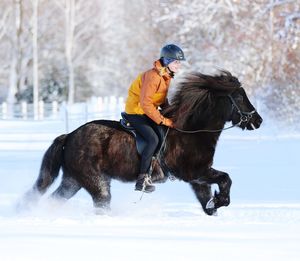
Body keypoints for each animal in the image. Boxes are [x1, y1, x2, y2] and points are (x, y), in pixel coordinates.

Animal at [22, 71, 262, 215]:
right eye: (239, 97)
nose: (258, 121)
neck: (191, 131)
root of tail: (70, 136)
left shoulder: (197, 179)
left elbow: (209, 203)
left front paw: (215, 202)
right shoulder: (195, 172)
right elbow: (226, 178)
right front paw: (221, 199)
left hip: (73, 181)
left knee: (54, 200)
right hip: (95, 183)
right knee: (100, 204)